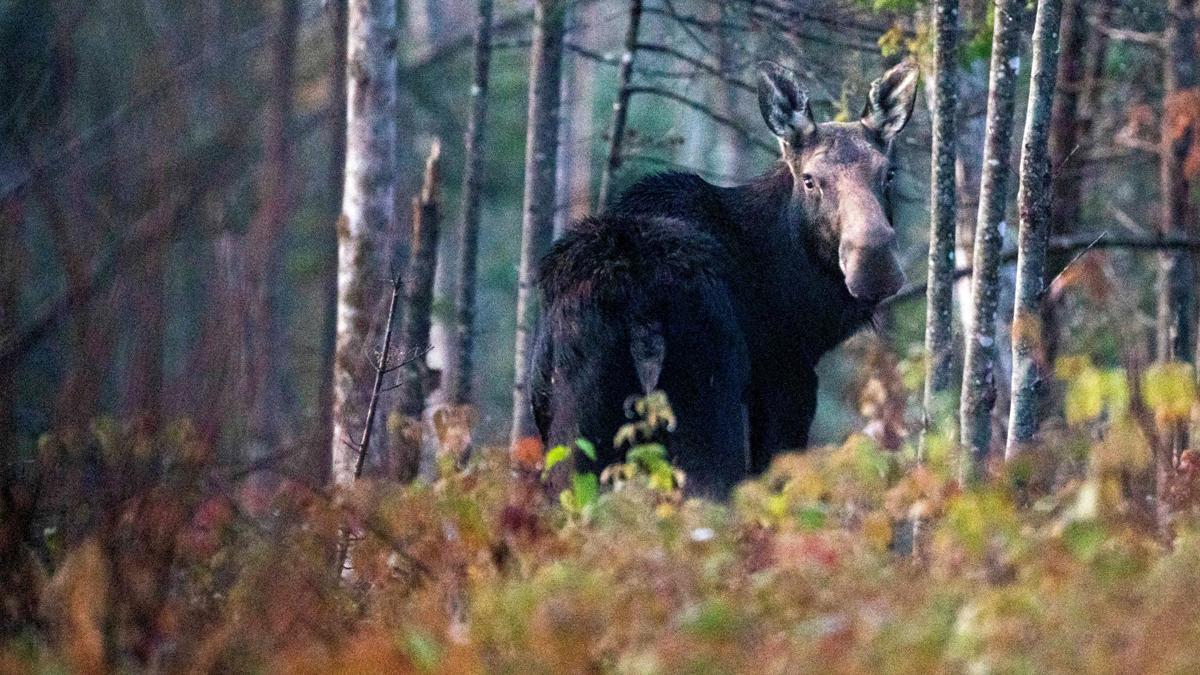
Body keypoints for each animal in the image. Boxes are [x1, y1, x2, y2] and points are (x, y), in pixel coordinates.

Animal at [535, 61, 916, 494]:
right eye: (809, 179)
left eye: (889, 173)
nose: (874, 263)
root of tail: (642, 311)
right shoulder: (788, 379)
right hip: (708, 408)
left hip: (580, 436)